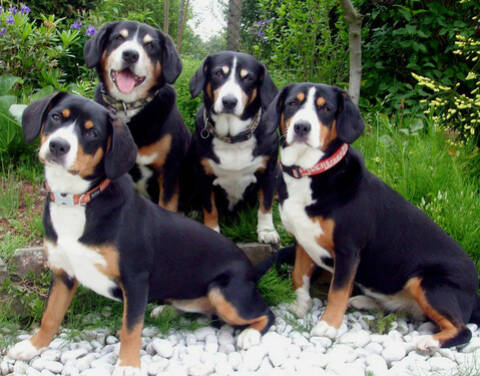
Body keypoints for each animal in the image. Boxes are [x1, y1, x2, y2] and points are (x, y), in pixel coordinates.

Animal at [7, 92, 276, 376]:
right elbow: (50, 316)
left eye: (92, 133)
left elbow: (131, 328)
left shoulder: (134, 279)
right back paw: (165, 311)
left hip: (223, 293)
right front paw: (32, 347)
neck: (77, 200)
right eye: (56, 116)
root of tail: (251, 270)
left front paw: (127, 365)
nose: (58, 146)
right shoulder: (62, 274)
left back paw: (249, 335)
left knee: (266, 313)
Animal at [188, 52, 280, 244]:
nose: (229, 101)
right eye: (218, 73)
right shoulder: (203, 174)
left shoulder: (268, 172)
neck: (233, 138)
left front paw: (267, 231)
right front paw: (212, 230)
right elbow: (210, 207)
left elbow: (265, 205)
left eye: (248, 78)